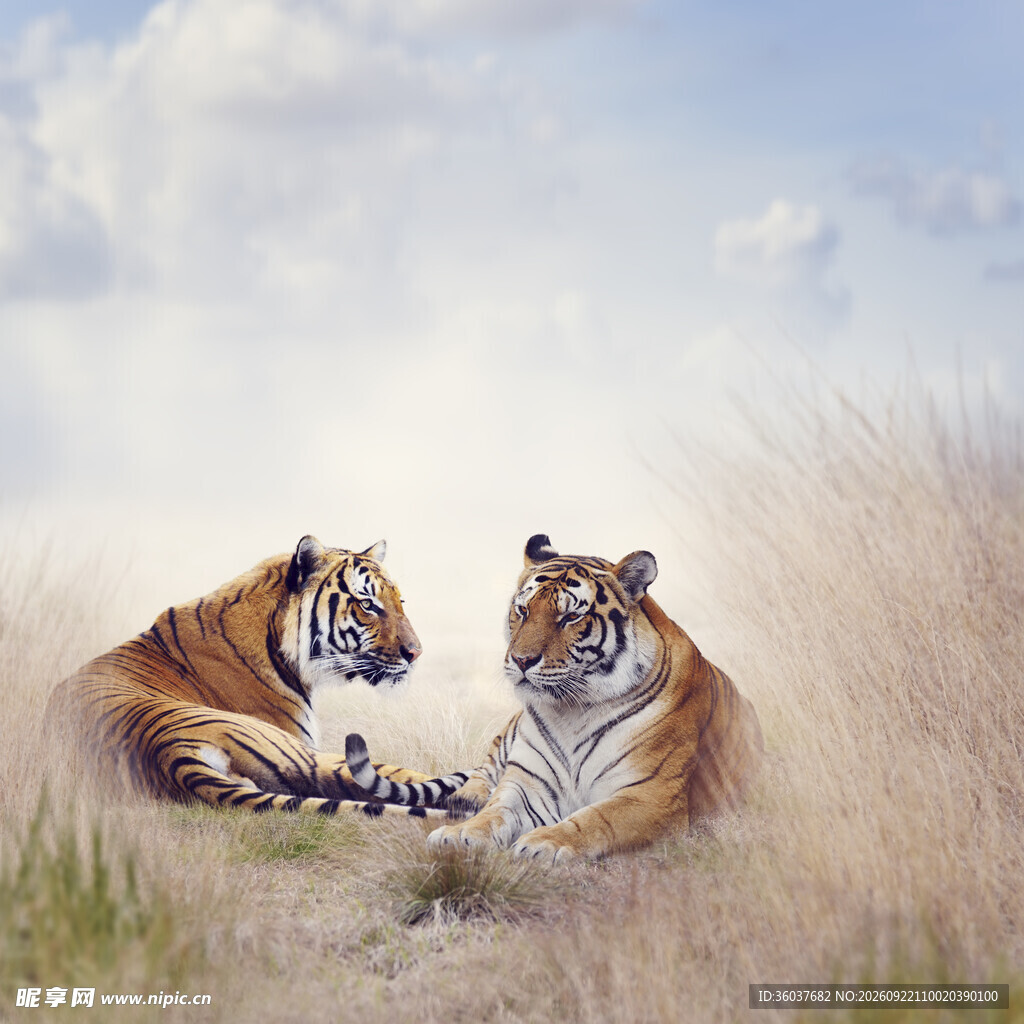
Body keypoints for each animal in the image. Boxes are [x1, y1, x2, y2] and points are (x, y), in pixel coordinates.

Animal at [345, 533, 764, 861]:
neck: (573, 711)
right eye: (522, 610)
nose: (521, 660)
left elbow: (595, 818)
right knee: (481, 775)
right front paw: (461, 833)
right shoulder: (527, 782)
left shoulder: (650, 794)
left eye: (570, 617)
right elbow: (496, 810)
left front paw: (544, 843)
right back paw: (466, 799)